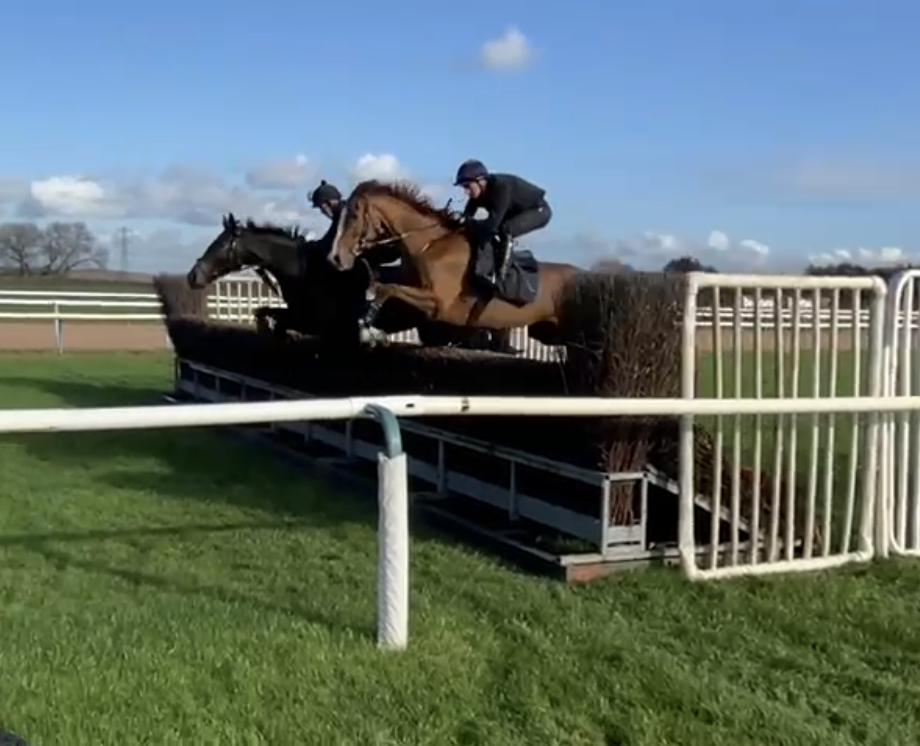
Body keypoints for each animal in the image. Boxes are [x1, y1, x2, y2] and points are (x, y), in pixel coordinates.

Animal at [328, 179, 580, 344]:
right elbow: (381, 282)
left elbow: (388, 289)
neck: (429, 245)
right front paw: (367, 322)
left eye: (353, 216)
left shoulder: (438, 304)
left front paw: (369, 331)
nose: (335, 258)